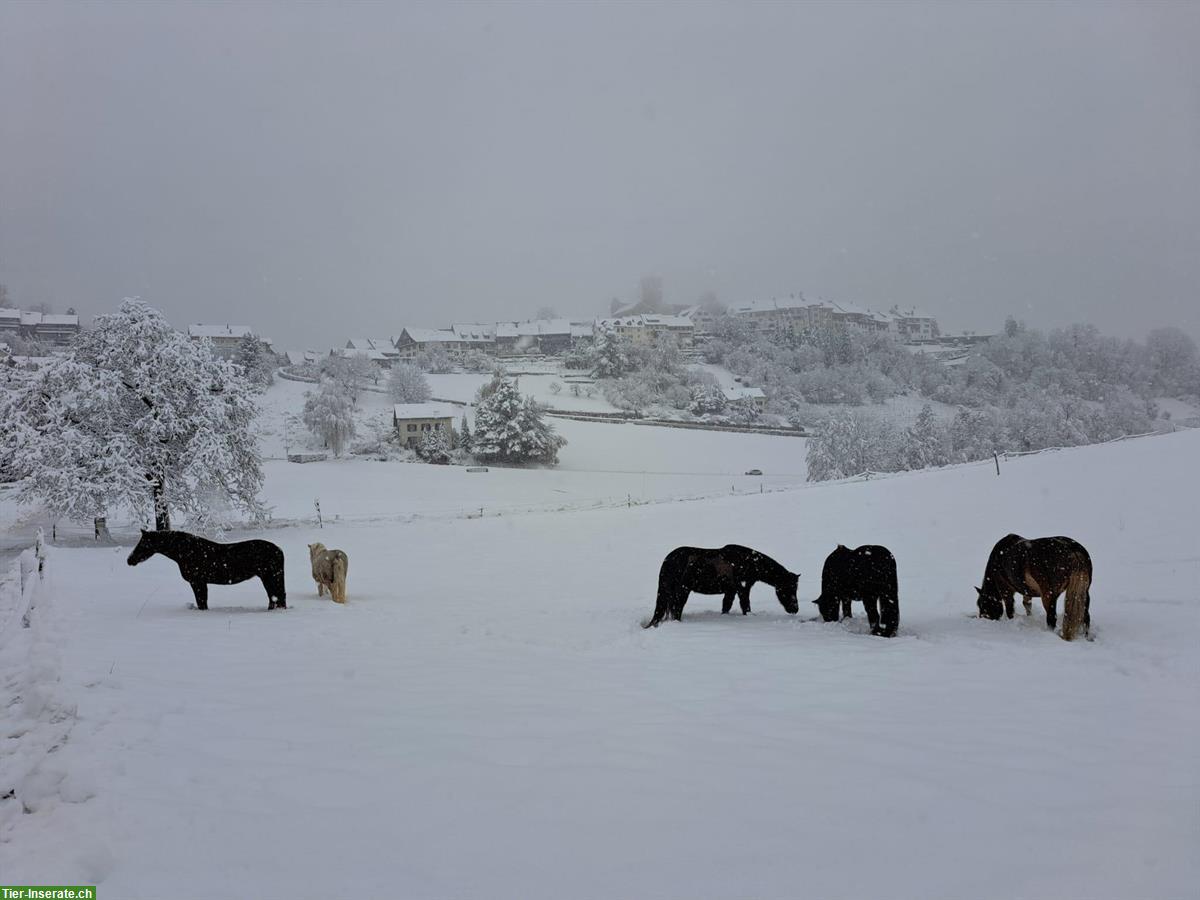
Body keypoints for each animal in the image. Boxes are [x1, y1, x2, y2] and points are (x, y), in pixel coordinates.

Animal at [127, 528, 288, 614]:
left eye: (143, 544)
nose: (130, 560)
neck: (187, 551)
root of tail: (278, 549)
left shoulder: (197, 582)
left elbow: (202, 602)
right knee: (275, 597)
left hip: (268, 577)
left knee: (275, 596)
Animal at [643, 547, 801, 628]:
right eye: (789, 588)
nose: (795, 609)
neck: (748, 562)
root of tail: (669, 560)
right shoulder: (742, 589)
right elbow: (745, 606)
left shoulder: (731, 591)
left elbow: (726, 606)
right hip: (682, 591)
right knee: (677, 610)